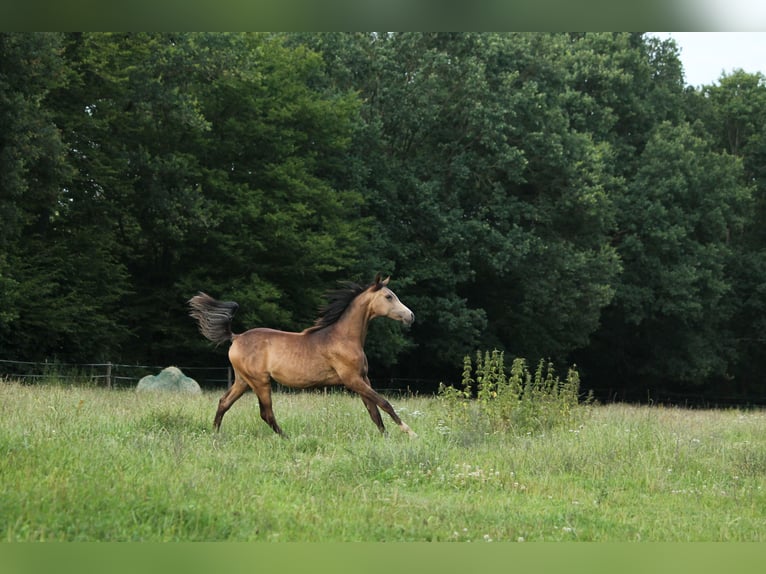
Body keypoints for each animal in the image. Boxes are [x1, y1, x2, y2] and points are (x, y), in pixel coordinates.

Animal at [190, 276, 420, 438]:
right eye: (389, 296)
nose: (411, 316)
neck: (343, 337)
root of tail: (235, 337)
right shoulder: (352, 380)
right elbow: (385, 403)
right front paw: (410, 432)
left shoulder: (363, 379)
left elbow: (374, 412)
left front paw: (386, 437)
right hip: (259, 381)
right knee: (266, 413)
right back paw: (287, 438)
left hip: (243, 381)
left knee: (224, 402)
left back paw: (214, 434)